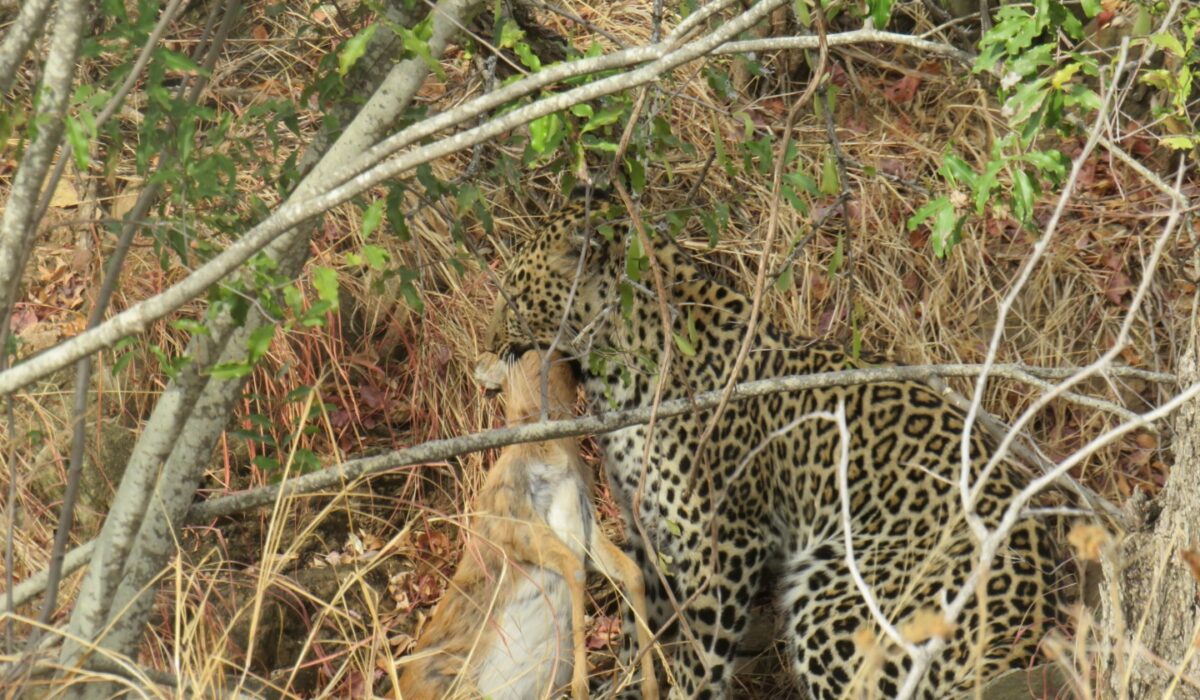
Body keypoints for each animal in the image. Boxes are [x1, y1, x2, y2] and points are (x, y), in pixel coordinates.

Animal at [481, 193, 1070, 700]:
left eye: (511, 293)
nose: (483, 352)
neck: (618, 359)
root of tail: (1037, 622)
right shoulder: (646, 524)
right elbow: (638, 617)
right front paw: (625, 685)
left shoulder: (720, 539)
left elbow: (700, 651)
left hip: (840, 598)